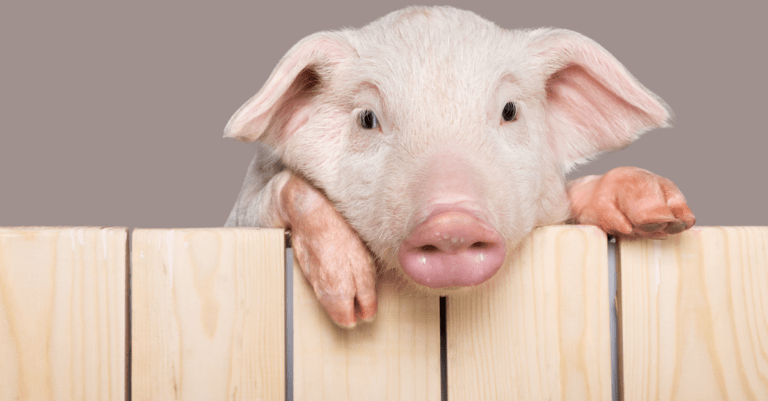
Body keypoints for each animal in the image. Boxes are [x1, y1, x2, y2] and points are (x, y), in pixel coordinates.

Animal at [222, 4, 696, 326]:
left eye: (509, 110)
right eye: (368, 118)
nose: (452, 221)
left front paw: (664, 215)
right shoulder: (241, 216)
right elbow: (288, 188)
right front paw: (356, 310)